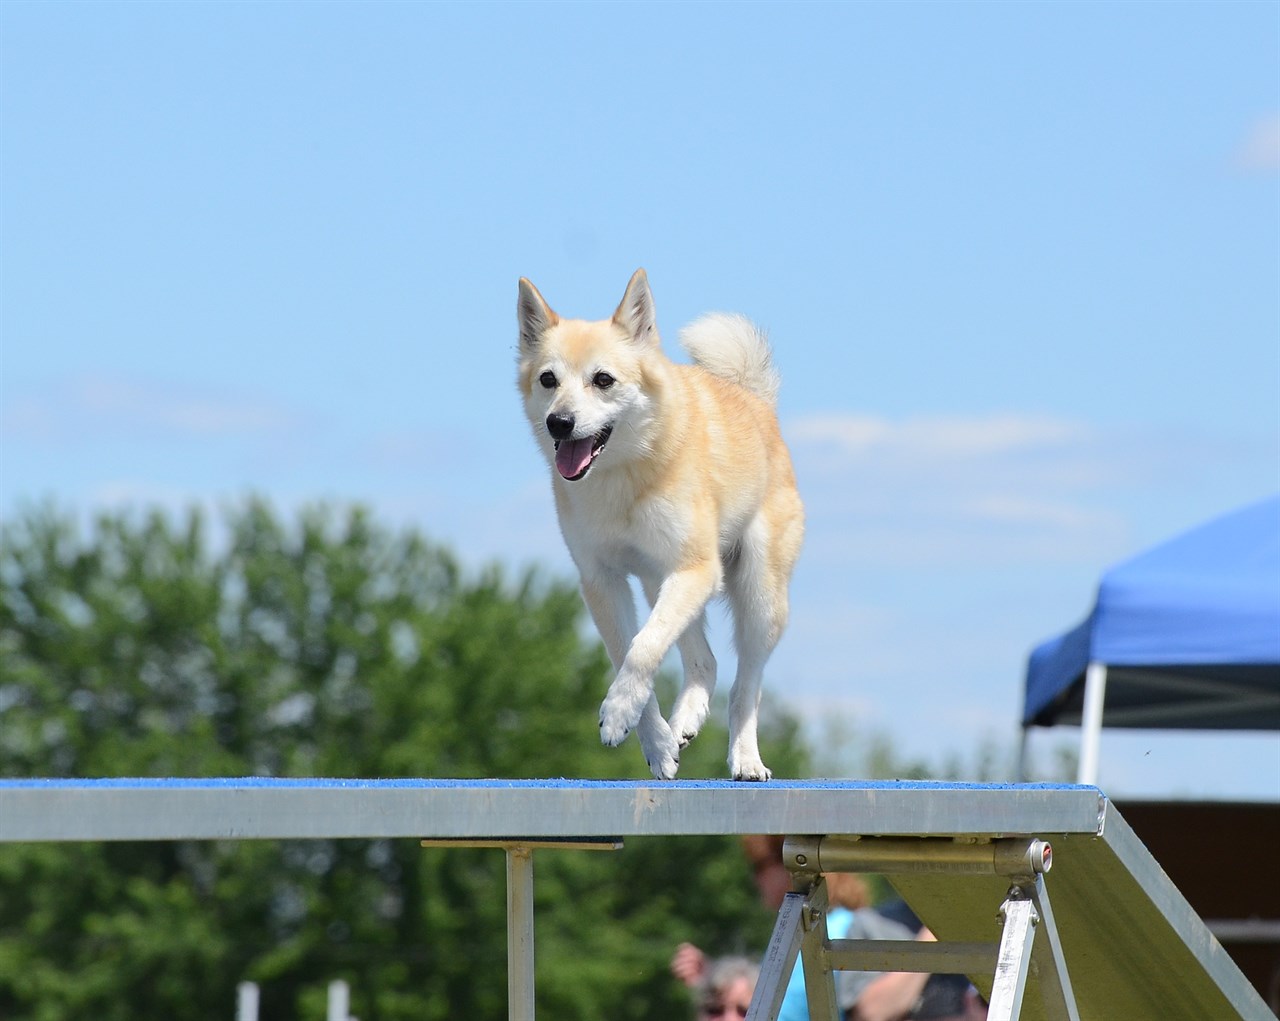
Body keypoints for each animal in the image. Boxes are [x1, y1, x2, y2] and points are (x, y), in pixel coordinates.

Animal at [517, 271, 798, 783]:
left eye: (603, 380)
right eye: (548, 379)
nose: (559, 422)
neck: (624, 473)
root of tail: (755, 400)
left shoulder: (694, 569)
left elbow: (643, 650)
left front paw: (616, 713)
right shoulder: (603, 582)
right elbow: (628, 652)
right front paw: (654, 741)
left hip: (757, 596)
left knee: (746, 687)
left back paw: (746, 759)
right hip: (659, 584)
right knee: (704, 661)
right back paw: (685, 721)